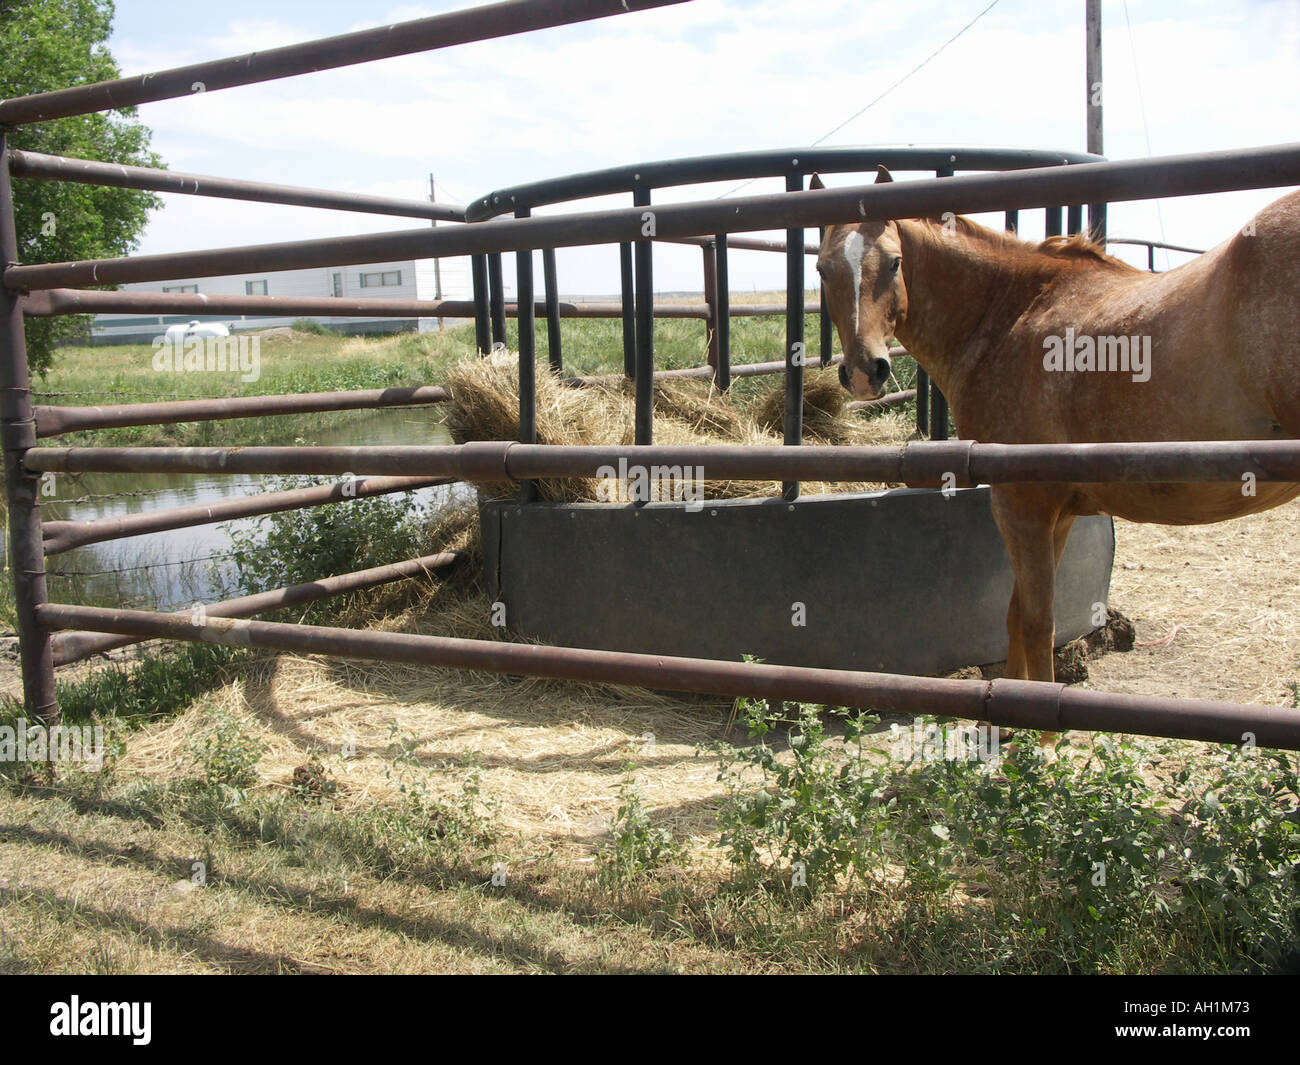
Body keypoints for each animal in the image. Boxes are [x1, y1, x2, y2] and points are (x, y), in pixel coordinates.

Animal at [816, 169, 1294, 743]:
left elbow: (1039, 618)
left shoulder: (1021, 501)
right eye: (822, 269)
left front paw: (1042, 738)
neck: (1009, 314)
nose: (866, 372)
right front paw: (1002, 724)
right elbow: (1016, 613)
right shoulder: (1058, 509)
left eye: (893, 262)